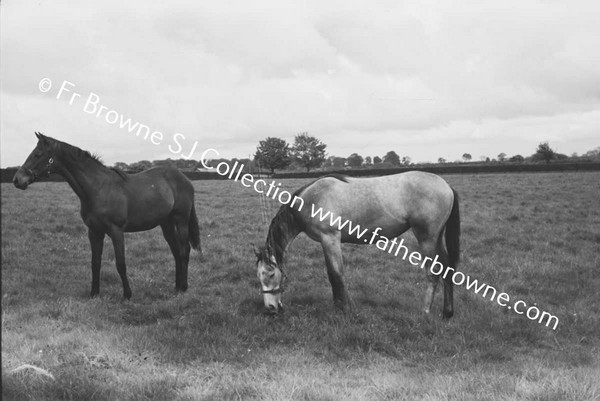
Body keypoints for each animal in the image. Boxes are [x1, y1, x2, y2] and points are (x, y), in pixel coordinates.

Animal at [12, 133, 202, 298]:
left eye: (38, 154)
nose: (17, 180)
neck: (98, 188)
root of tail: (184, 178)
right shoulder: (94, 231)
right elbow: (95, 263)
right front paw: (94, 293)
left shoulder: (116, 231)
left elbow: (121, 263)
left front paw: (127, 295)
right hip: (166, 224)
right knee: (176, 252)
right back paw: (176, 287)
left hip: (181, 220)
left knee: (184, 250)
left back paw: (183, 287)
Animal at [255, 172, 462, 318]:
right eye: (258, 275)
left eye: (270, 274)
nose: (270, 308)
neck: (311, 200)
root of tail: (446, 186)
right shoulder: (327, 242)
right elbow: (334, 274)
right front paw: (342, 306)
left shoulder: (330, 239)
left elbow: (335, 274)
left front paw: (344, 309)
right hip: (437, 238)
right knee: (447, 268)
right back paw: (447, 313)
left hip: (427, 238)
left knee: (433, 273)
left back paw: (425, 312)